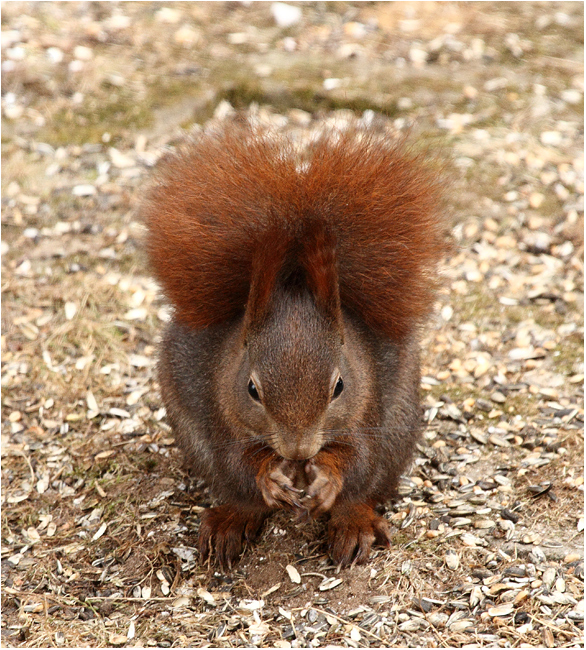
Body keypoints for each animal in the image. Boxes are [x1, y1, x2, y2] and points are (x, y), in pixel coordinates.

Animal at [141, 119, 448, 564]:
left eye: (339, 386)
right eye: (251, 389)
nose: (299, 451)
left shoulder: (367, 411)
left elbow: (356, 460)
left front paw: (328, 480)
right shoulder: (223, 416)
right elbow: (237, 462)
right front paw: (269, 479)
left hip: (399, 426)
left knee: (366, 489)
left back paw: (353, 523)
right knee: (236, 490)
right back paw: (231, 520)